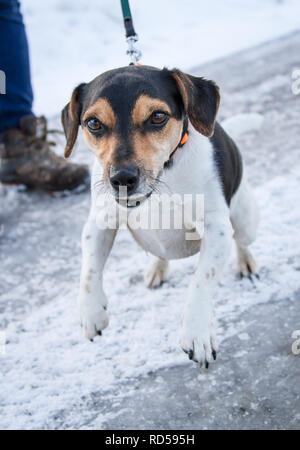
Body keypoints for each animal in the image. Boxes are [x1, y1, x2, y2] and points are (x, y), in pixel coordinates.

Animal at [61, 67, 258, 370]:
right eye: (93, 123)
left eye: (157, 116)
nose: (122, 179)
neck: (163, 178)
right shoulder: (99, 222)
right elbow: (90, 270)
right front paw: (91, 312)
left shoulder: (216, 230)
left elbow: (202, 280)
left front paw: (197, 333)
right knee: (160, 252)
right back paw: (157, 268)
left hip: (246, 221)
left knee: (242, 239)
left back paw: (246, 261)